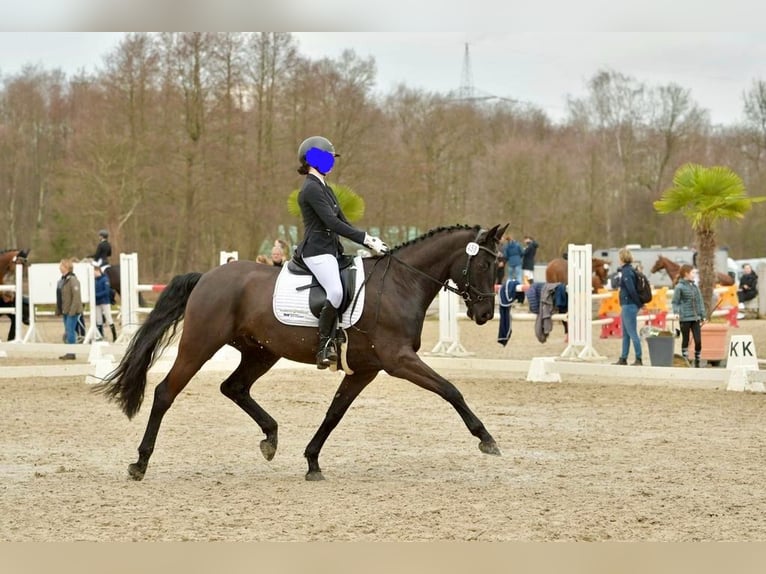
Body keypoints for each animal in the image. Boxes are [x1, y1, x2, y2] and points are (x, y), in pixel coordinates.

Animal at [97, 224, 510, 482]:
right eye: (486, 263)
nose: (485, 314)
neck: (399, 283)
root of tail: (207, 277)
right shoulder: (398, 360)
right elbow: (451, 390)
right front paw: (487, 439)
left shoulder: (365, 369)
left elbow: (334, 414)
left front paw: (312, 461)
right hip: (200, 345)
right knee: (165, 392)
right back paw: (140, 463)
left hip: (261, 353)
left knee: (234, 388)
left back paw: (270, 438)